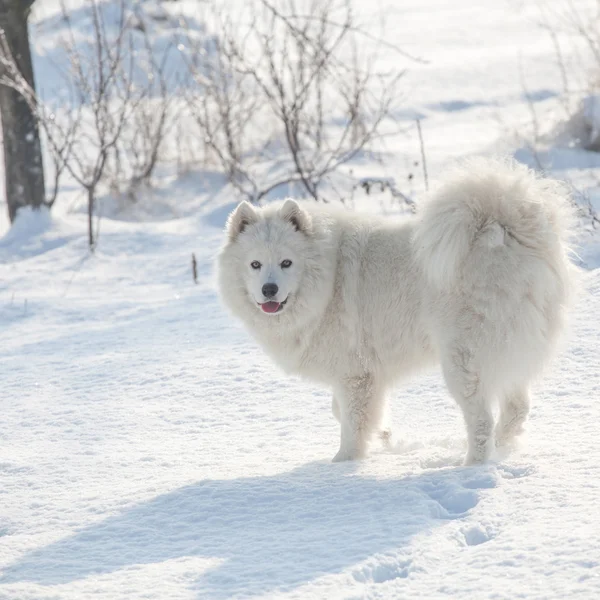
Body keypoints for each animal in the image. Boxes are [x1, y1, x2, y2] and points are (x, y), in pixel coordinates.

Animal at [217, 159, 576, 464]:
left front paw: (342, 465)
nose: (269, 289)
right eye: (255, 264)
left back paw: (472, 465)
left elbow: (351, 422)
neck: (328, 279)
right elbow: (345, 411)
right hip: (509, 351)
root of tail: (507, 230)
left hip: (464, 358)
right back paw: (503, 447)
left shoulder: (355, 374)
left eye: (286, 263)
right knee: (517, 408)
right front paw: (384, 436)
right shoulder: (364, 375)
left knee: (481, 420)